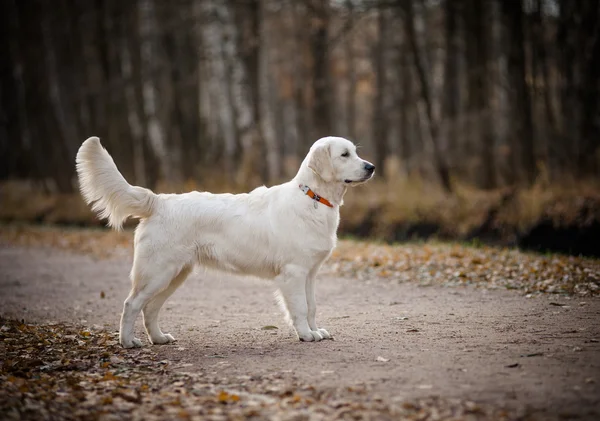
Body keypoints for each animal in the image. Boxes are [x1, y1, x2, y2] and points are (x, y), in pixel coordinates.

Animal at [75, 136, 376, 346]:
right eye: (344, 154)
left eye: (356, 151)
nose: (371, 167)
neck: (313, 197)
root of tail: (159, 201)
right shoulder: (293, 273)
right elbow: (300, 308)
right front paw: (305, 334)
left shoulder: (310, 273)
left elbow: (312, 306)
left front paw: (315, 330)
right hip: (157, 271)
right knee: (132, 304)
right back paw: (127, 342)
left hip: (175, 274)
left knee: (150, 308)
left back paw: (159, 338)